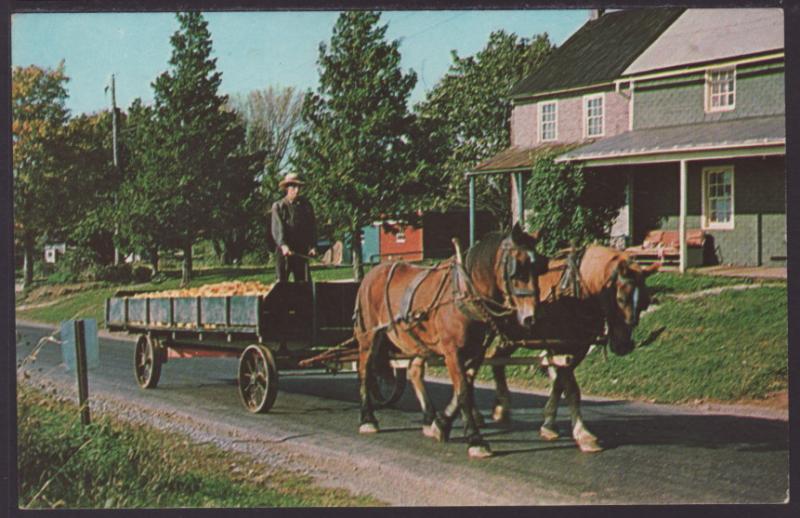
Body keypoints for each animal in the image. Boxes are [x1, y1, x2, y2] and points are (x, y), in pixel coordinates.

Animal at [354, 223, 548, 460]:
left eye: (539, 268)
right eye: (517, 268)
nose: (532, 316)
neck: (464, 292)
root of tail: (371, 274)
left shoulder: (476, 352)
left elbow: (466, 387)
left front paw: (441, 424)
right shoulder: (452, 352)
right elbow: (463, 391)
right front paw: (475, 439)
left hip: (418, 341)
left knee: (414, 371)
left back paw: (429, 417)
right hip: (369, 336)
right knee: (365, 370)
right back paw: (368, 419)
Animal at [476, 246, 656, 452]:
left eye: (645, 303)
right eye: (621, 298)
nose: (624, 345)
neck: (581, 292)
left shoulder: (577, 349)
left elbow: (560, 384)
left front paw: (548, 425)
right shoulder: (560, 347)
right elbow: (571, 389)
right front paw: (583, 434)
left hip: (511, 339)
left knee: (494, 360)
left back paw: (500, 408)